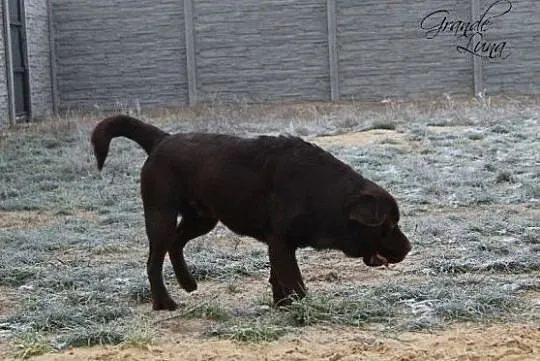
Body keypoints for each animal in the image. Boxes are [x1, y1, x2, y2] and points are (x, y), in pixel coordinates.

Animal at [90, 114, 410, 310]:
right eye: (390, 225)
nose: (408, 248)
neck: (323, 192)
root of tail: (161, 139)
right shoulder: (281, 241)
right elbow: (294, 280)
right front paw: (302, 308)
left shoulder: (278, 244)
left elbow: (277, 277)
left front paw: (282, 305)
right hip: (161, 216)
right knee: (154, 261)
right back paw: (164, 302)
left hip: (202, 218)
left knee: (176, 244)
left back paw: (187, 282)